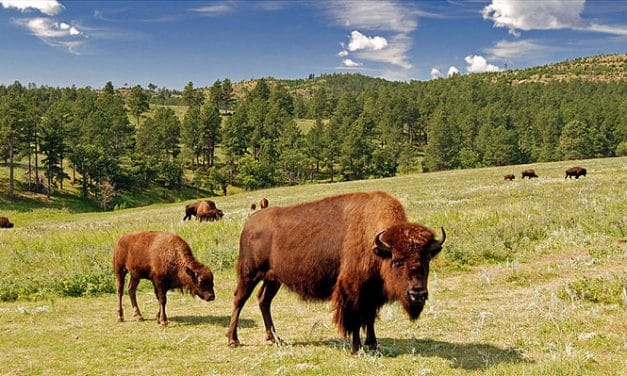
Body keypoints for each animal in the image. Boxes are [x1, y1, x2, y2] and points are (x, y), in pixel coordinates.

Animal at [226, 192, 446, 354]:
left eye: (427, 258)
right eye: (397, 261)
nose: (417, 294)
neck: (376, 245)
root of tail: (251, 221)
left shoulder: (371, 293)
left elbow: (369, 318)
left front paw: (373, 345)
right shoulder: (352, 291)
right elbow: (355, 319)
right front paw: (357, 348)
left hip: (273, 279)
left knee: (263, 300)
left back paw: (275, 338)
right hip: (249, 274)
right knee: (239, 299)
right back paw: (233, 340)